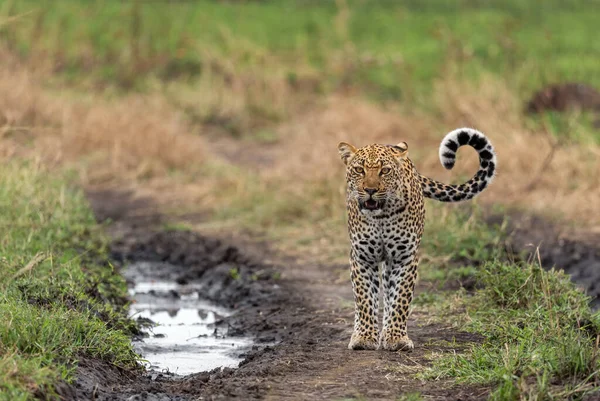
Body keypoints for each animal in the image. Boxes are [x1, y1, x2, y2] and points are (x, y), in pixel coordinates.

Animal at [338, 127, 496, 350]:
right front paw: (364, 338)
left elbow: (400, 299)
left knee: (389, 294)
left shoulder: (404, 257)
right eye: (359, 170)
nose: (370, 190)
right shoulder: (362, 257)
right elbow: (364, 299)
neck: (381, 217)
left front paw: (396, 338)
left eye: (385, 171)